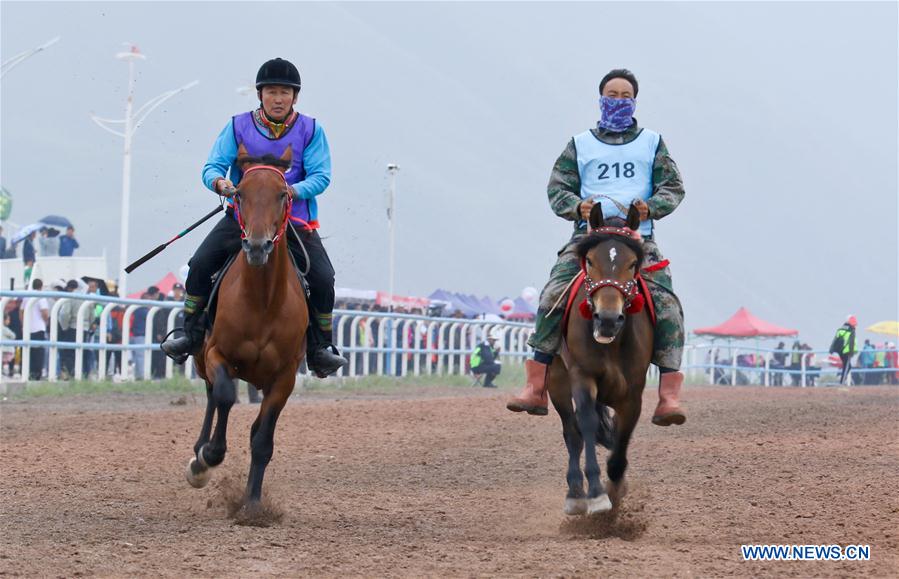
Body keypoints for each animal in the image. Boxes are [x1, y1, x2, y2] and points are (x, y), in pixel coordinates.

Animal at [185, 146, 308, 516]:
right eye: (239, 193)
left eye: (283, 195)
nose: (256, 246)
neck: (263, 301)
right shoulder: (217, 353)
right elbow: (225, 396)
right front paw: (208, 456)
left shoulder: (284, 377)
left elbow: (262, 439)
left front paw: (252, 505)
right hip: (201, 357)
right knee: (213, 394)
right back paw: (200, 454)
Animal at [548, 203, 652, 516]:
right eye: (591, 261)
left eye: (633, 263)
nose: (607, 318)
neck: (611, 344)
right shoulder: (582, 376)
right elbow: (587, 423)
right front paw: (596, 494)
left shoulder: (633, 391)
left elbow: (622, 437)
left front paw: (616, 488)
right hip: (557, 380)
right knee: (572, 431)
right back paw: (574, 493)